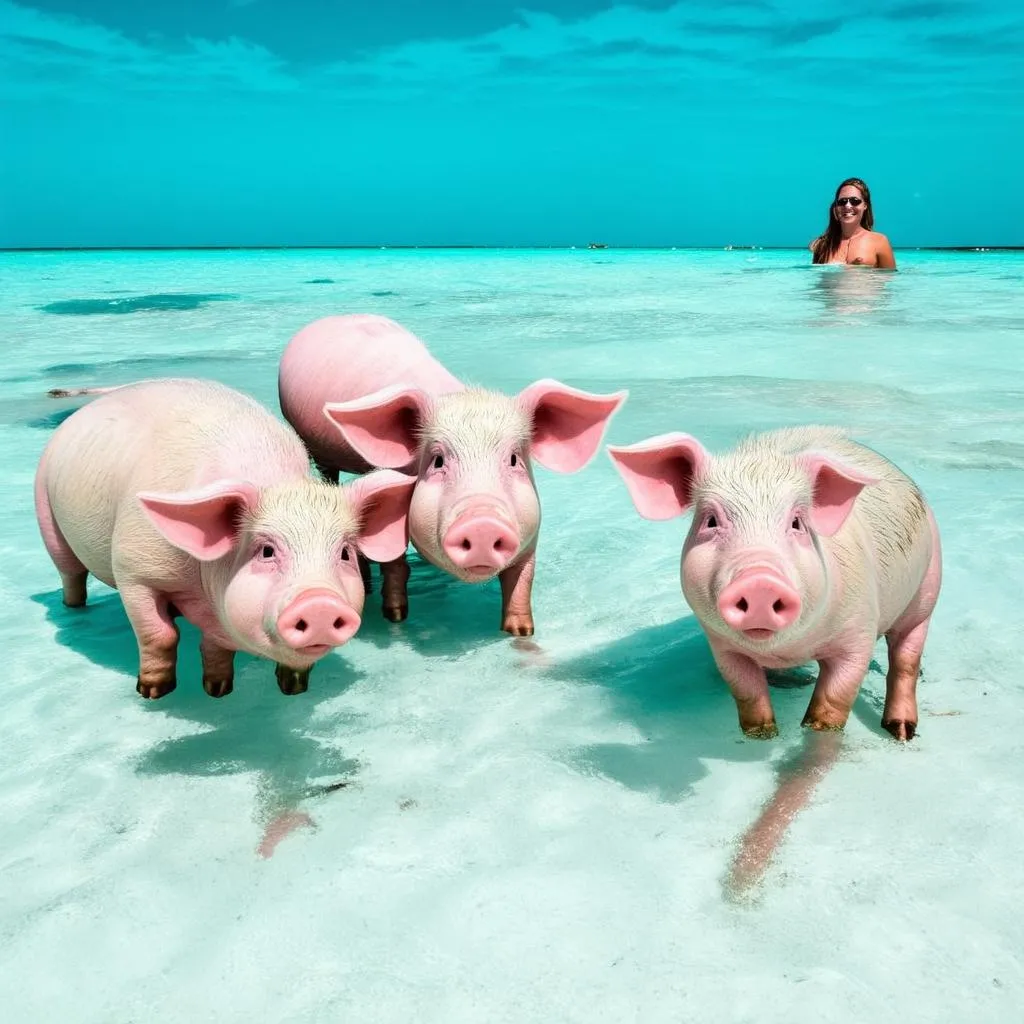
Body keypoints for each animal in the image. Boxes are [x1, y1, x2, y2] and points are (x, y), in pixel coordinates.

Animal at [35, 380, 415, 700]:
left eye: (345, 553)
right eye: (266, 551)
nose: (320, 602)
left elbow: (218, 646)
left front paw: (230, 691)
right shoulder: (134, 569)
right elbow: (159, 634)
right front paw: (152, 693)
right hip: (44, 508)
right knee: (69, 572)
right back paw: (74, 608)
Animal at [276, 313, 622, 630]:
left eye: (514, 459)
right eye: (438, 461)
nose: (482, 522)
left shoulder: (531, 533)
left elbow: (522, 580)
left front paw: (522, 633)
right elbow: (396, 566)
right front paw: (396, 618)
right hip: (318, 451)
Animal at [606, 428, 942, 741]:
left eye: (797, 523)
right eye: (711, 521)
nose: (760, 582)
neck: (789, 647)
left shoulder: (858, 628)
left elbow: (834, 700)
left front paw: (816, 733)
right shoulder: (722, 645)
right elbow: (747, 693)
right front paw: (763, 735)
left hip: (927, 589)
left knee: (906, 657)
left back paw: (901, 732)